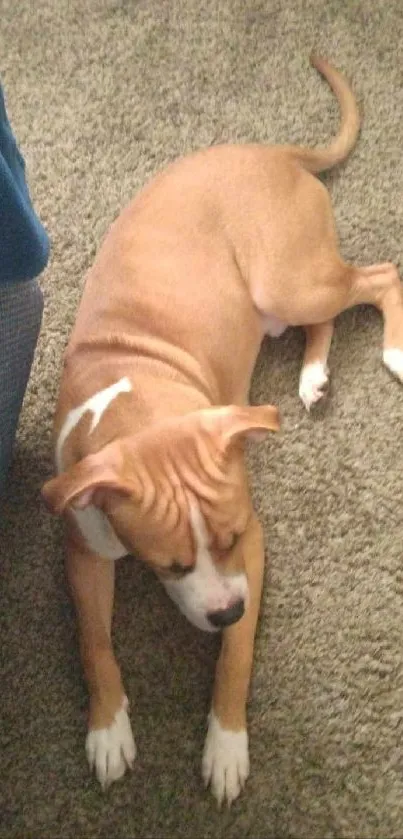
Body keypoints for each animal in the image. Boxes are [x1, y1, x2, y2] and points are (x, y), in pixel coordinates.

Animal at [42, 55, 403, 804]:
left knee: (380, 275)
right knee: (326, 319)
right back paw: (312, 375)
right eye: (168, 565)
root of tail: (271, 152)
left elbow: (235, 658)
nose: (225, 611)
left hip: (289, 278)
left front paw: (227, 743)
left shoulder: (255, 551)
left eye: (232, 537)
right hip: (283, 298)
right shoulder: (84, 549)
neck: (140, 395)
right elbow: (95, 641)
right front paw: (108, 727)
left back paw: (393, 352)